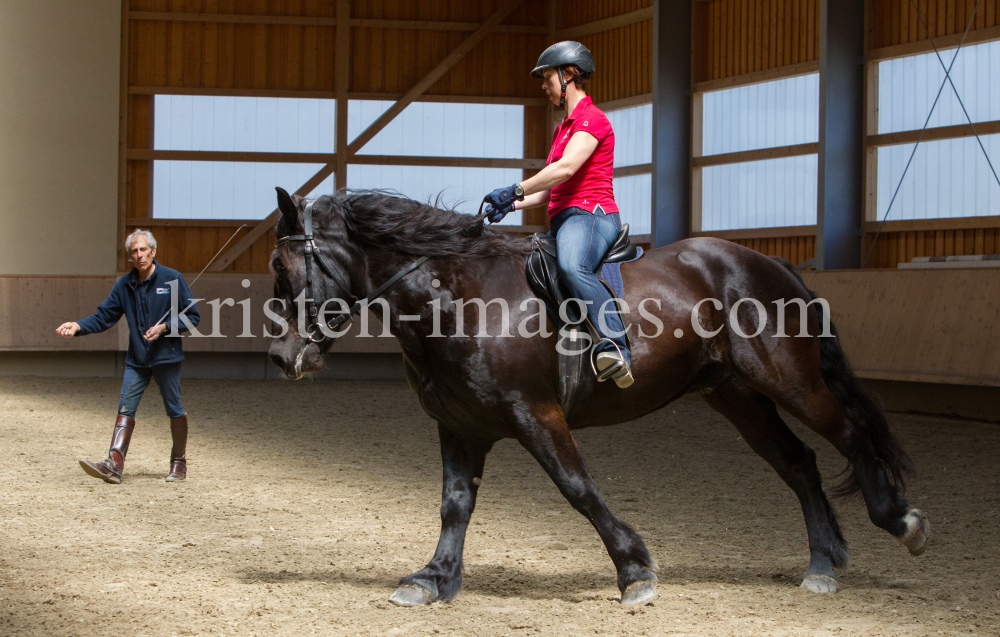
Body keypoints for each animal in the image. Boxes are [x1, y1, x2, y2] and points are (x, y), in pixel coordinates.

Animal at [268, 189, 928, 608]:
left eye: (283, 265)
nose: (280, 358)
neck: (457, 296)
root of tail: (767, 262)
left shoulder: (535, 414)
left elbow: (578, 489)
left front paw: (635, 570)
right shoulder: (459, 425)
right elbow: (454, 505)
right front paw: (433, 579)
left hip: (790, 381)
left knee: (849, 435)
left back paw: (900, 522)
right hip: (737, 397)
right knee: (800, 464)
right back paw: (822, 564)